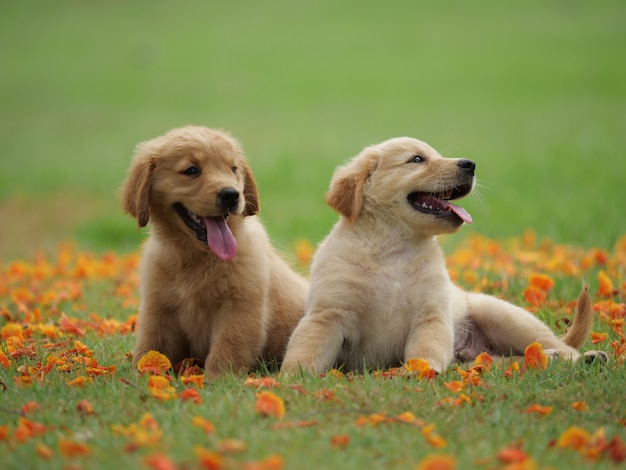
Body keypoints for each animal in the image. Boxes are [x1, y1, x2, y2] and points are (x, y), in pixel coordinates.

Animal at [120, 125, 306, 378]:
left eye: (233, 169)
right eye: (191, 170)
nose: (231, 195)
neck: (197, 257)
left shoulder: (240, 308)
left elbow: (227, 348)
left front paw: (217, 380)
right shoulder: (158, 308)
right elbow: (151, 345)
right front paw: (143, 375)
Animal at [280, 136, 604, 374]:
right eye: (417, 159)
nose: (470, 165)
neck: (392, 248)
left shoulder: (431, 314)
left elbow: (426, 350)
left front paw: (421, 371)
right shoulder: (327, 314)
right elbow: (305, 351)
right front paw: (291, 380)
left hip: (503, 316)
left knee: (558, 346)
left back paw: (585, 357)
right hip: (480, 355)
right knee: (508, 360)